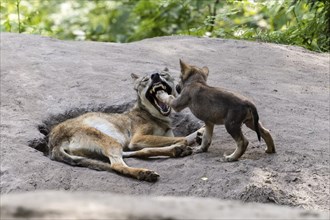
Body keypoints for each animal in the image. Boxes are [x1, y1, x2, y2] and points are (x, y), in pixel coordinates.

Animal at [48, 68, 201, 181]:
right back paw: (145, 173)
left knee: (138, 153)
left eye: (163, 74)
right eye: (145, 79)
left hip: (117, 143)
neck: (154, 116)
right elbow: (183, 138)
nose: (155, 75)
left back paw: (177, 151)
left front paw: (199, 134)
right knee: (117, 165)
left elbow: (183, 137)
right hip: (112, 142)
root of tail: (53, 143)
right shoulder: (137, 139)